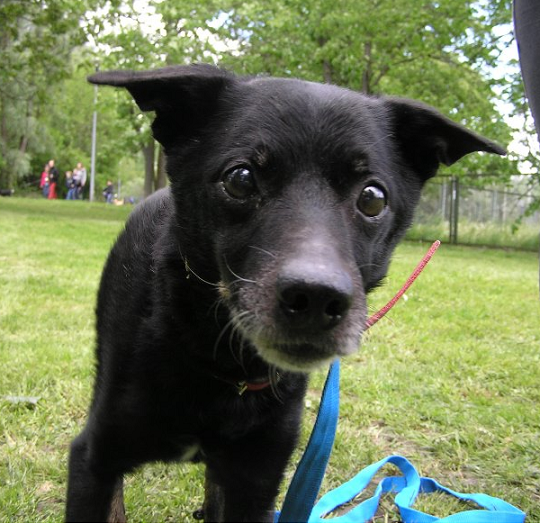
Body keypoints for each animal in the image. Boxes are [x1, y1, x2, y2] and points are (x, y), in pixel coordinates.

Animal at [65, 64, 504, 522]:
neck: (223, 367)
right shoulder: (93, 459)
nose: (316, 298)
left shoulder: (258, 482)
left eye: (372, 197)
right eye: (240, 179)